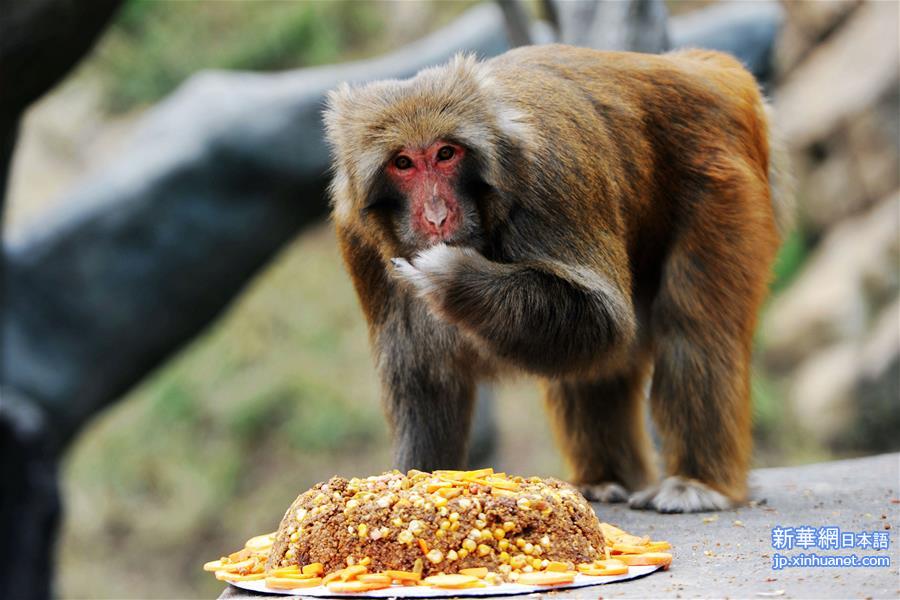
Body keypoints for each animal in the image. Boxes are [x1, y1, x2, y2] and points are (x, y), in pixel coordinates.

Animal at [324, 44, 788, 512]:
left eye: (445, 154)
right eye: (403, 163)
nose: (436, 216)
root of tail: (703, 69)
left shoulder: (553, 179)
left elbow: (604, 320)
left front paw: (452, 277)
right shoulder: (358, 237)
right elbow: (423, 374)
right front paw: (411, 482)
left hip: (722, 182)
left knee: (694, 328)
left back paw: (698, 482)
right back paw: (604, 478)